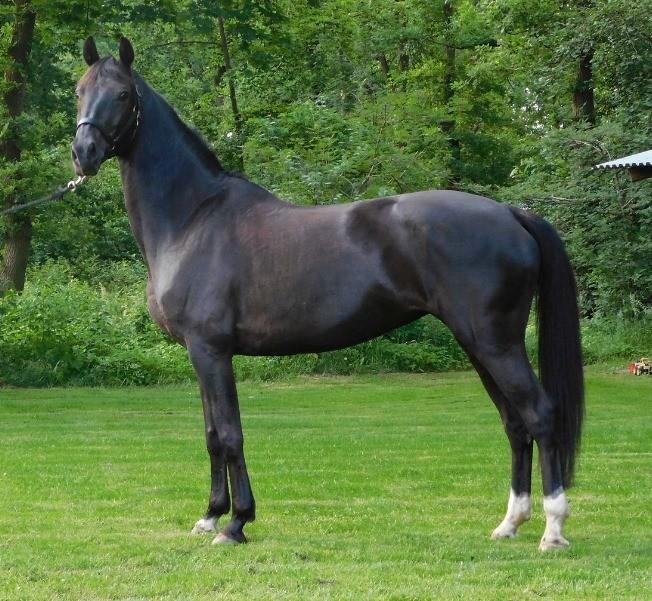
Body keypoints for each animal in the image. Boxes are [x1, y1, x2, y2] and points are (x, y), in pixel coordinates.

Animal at [71, 36, 584, 550]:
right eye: (80, 91)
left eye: (122, 94)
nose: (84, 152)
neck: (194, 218)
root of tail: (511, 213)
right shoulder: (199, 355)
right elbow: (212, 434)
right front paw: (211, 516)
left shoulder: (211, 350)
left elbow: (231, 434)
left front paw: (237, 524)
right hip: (478, 344)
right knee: (515, 424)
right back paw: (510, 523)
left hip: (496, 344)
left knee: (539, 415)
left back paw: (553, 529)